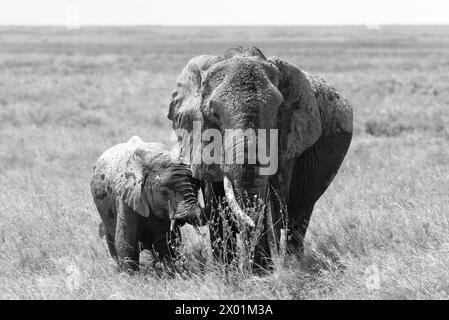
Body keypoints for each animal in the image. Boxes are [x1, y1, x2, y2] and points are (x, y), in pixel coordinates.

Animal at [89, 136, 205, 272]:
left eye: (197, 187)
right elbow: (126, 242)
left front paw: (172, 272)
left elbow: (166, 243)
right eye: (164, 193)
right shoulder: (126, 198)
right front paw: (129, 276)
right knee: (111, 240)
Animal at [166, 45, 352, 270]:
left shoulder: (289, 139)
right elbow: (217, 204)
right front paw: (227, 274)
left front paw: (261, 272)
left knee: (299, 221)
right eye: (213, 113)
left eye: (279, 111)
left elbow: (273, 199)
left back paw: (296, 263)